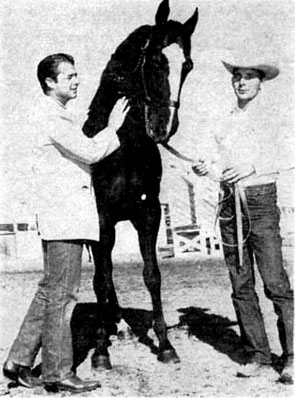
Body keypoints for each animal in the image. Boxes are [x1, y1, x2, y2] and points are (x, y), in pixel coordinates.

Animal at [82, 0, 199, 370]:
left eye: (187, 65)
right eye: (156, 59)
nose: (163, 128)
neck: (124, 148)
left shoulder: (149, 214)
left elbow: (152, 275)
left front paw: (165, 344)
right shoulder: (102, 220)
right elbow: (102, 279)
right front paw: (100, 351)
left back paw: (118, 324)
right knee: (100, 276)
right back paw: (111, 326)